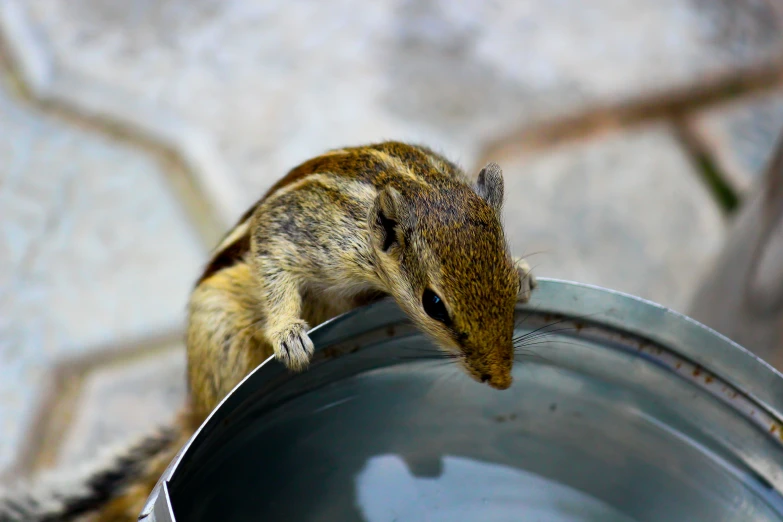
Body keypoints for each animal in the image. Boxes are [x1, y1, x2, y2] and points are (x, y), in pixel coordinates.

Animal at [0, 140, 536, 516]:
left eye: (506, 278)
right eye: (434, 304)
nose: (502, 380)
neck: (420, 185)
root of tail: (192, 408)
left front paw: (528, 275)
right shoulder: (299, 231)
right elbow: (274, 264)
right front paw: (288, 335)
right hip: (221, 333)